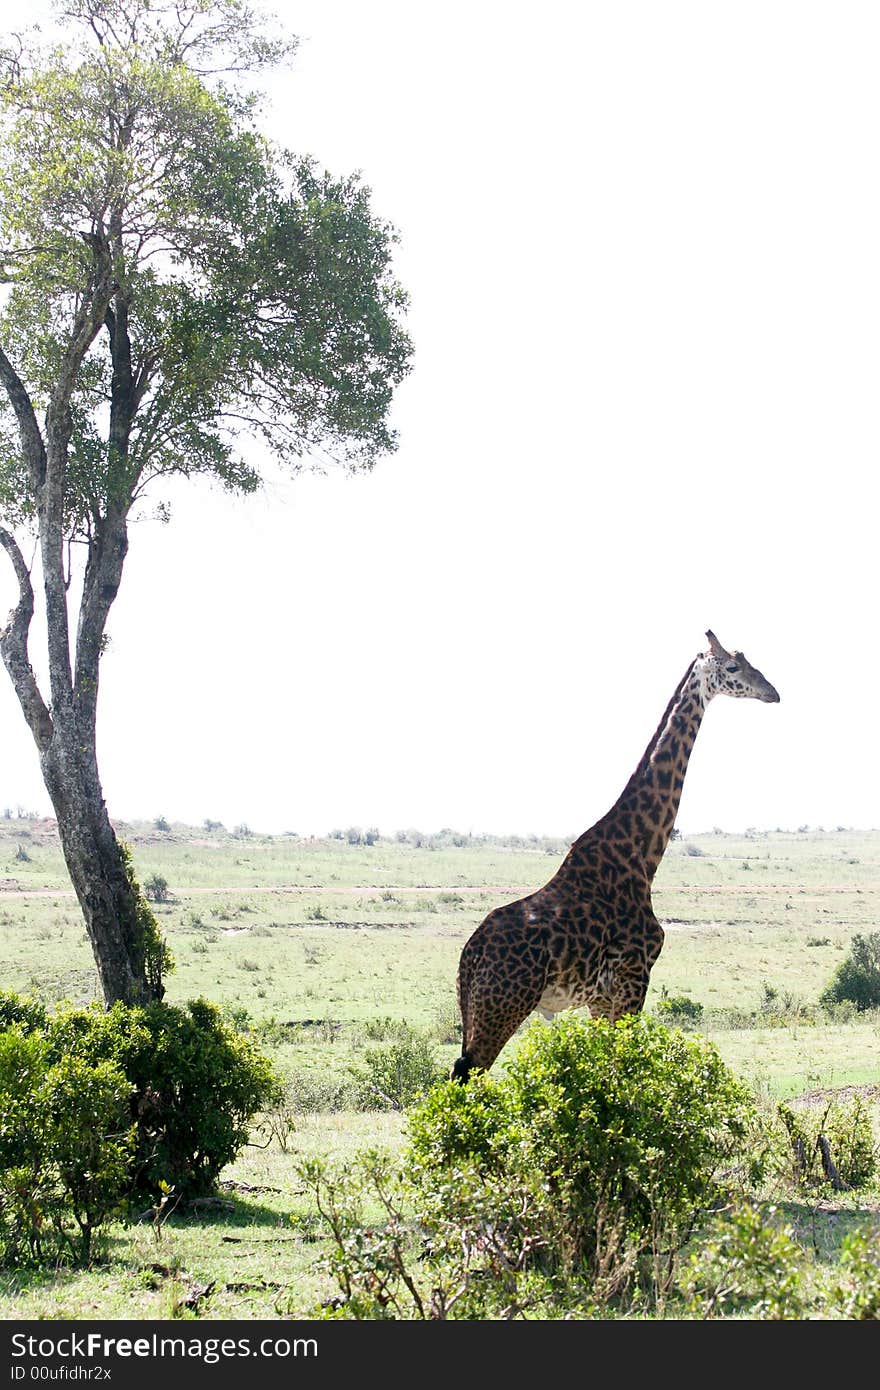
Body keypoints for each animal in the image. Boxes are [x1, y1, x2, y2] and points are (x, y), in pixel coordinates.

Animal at [450, 633, 778, 1084]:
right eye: (732, 668)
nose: (772, 692)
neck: (641, 853)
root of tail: (468, 959)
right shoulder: (633, 977)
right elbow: (622, 1072)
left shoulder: (601, 998)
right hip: (504, 1006)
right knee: (465, 1076)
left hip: (478, 1012)